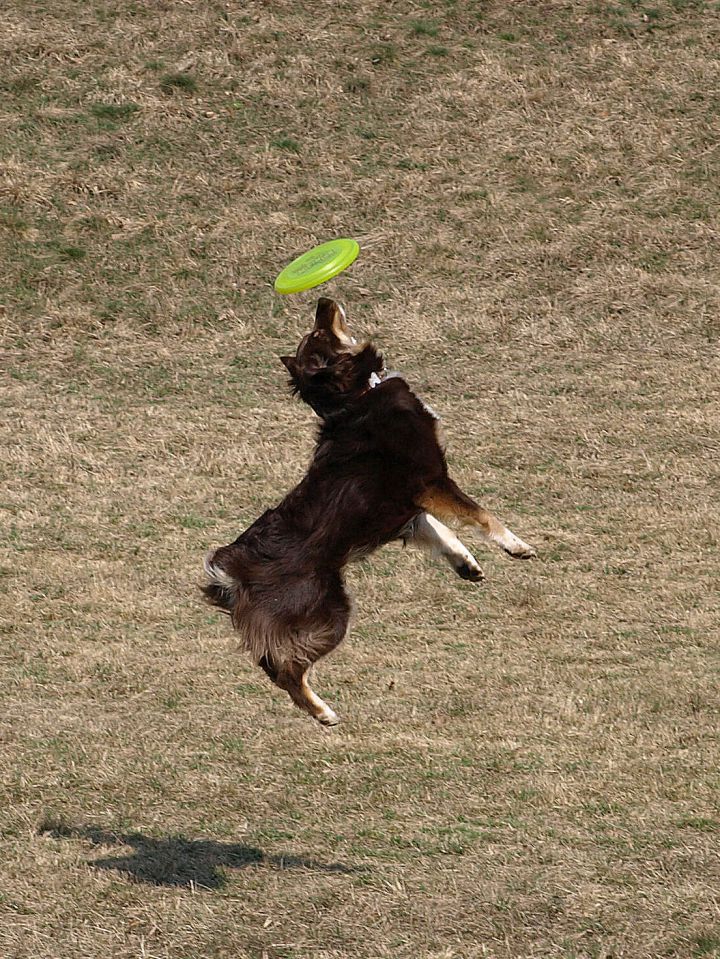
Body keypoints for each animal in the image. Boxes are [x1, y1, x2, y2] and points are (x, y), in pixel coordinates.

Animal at [202, 300, 536, 728]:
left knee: (269, 665)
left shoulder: (409, 510)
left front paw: (467, 564)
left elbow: (442, 533)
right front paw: (517, 545)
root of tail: (232, 571)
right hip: (329, 616)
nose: (322, 301)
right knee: (286, 670)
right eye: (318, 333)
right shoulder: (431, 481)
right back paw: (323, 712)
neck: (358, 395)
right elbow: (481, 516)